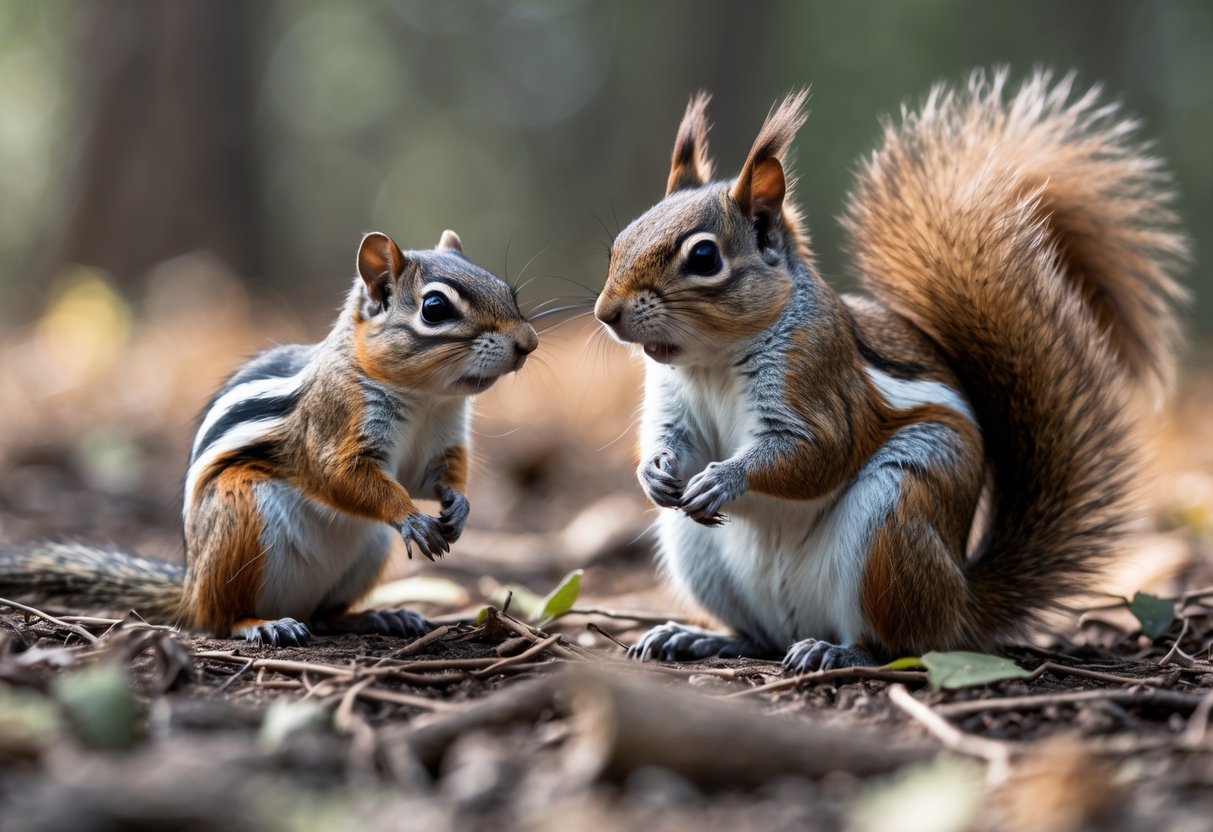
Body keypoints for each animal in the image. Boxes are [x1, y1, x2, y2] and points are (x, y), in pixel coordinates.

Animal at [0, 230, 538, 646]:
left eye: (507, 290)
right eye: (434, 307)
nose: (528, 344)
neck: (427, 399)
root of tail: (191, 588)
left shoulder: (441, 441)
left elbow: (436, 479)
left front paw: (458, 506)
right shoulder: (332, 424)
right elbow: (341, 476)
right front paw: (411, 517)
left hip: (366, 551)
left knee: (327, 615)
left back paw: (379, 615)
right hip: (241, 516)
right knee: (219, 618)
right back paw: (260, 624)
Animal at [594, 69, 1187, 671]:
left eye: (704, 258)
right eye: (619, 242)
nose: (605, 314)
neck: (712, 361)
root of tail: (960, 602)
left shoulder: (817, 375)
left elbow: (819, 451)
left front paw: (725, 478)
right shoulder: (673, 399)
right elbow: (672, 438)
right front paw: (653, 472)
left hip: (894, 515)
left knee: (895, 643)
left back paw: (837, 652)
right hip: (700, 553)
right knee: (761, 636)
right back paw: (701, 637)